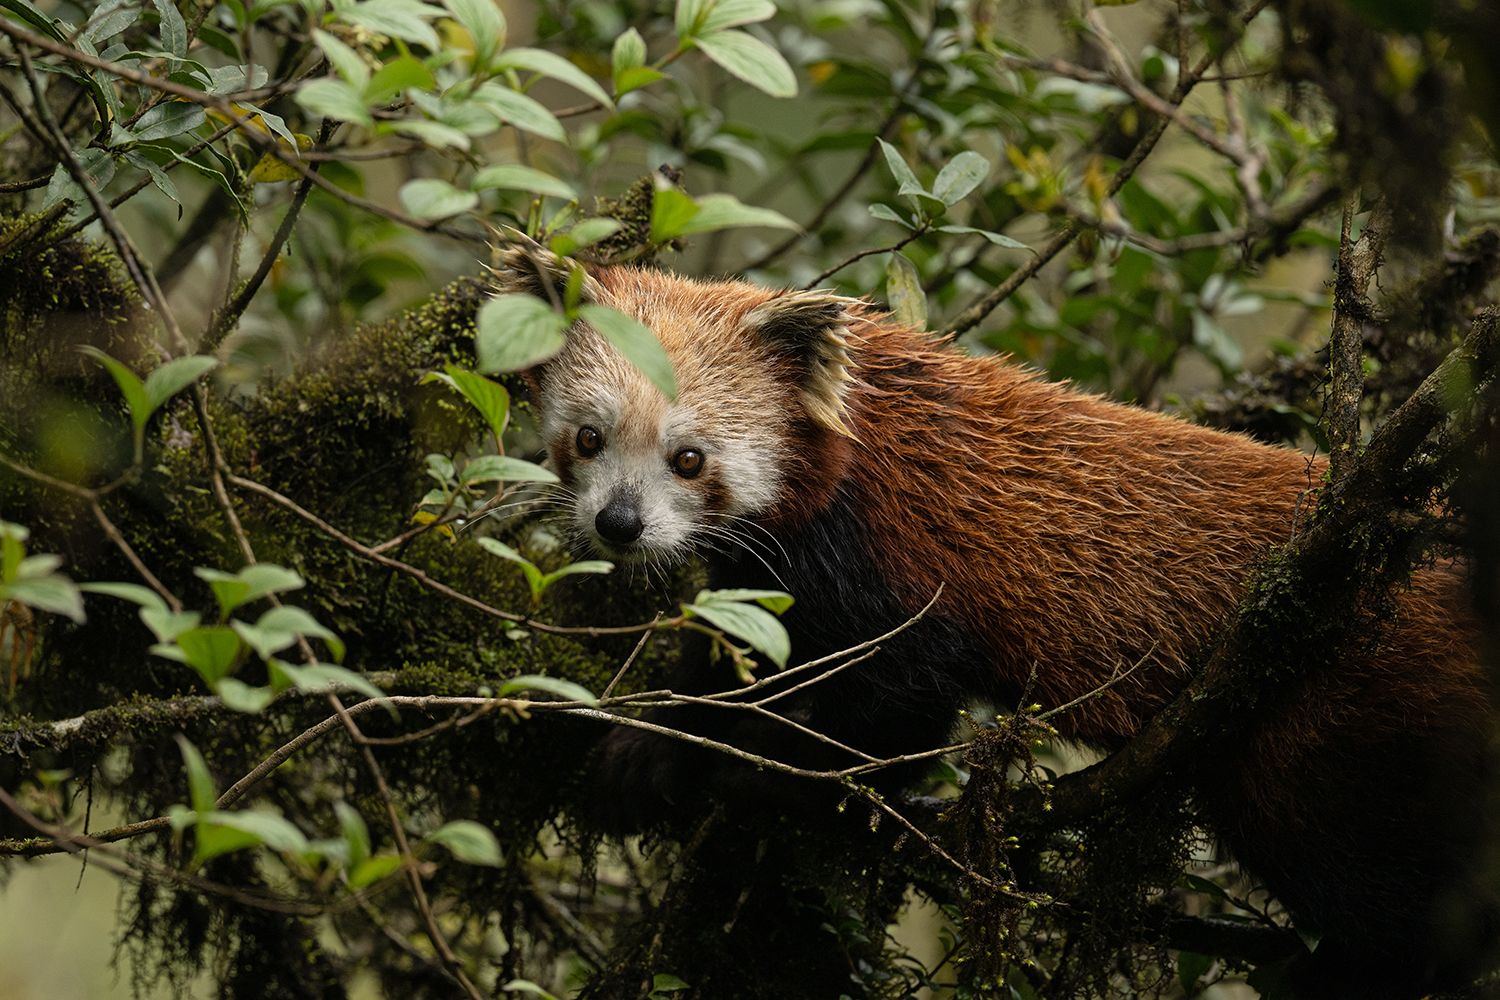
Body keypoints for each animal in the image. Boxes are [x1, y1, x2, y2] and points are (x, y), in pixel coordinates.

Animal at [507, 254, 1500, 995]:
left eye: (689, 458)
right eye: (590, 438)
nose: (620, 525)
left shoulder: (894, 565)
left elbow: (890, 705)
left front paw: (746, 769)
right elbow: (752, 655)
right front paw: (651, 744)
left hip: (1338, 712)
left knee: (1359, 867)